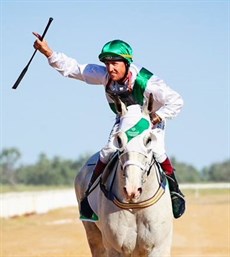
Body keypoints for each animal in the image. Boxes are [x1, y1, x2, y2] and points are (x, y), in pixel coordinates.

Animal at [74, 94, 173, 256]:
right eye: (119, 139)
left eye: (148, 139)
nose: (132, 190)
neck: (136, 205)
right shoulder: (115, 248)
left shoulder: (159, 247)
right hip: (93, 234)